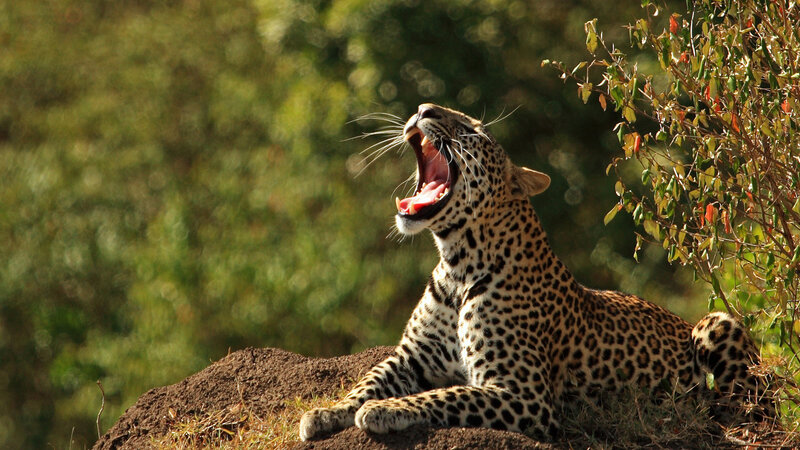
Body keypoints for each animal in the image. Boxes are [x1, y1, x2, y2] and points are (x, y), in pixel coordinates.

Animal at [299, 103, 773, 441]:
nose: (423, 108)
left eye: (474, 131)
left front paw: (386, 410)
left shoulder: (522, 394)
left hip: (718, 325)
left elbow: (444, 394)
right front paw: (325, 412)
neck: (457, 264)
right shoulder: (411, 356)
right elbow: (367, 380)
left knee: (747, 401)